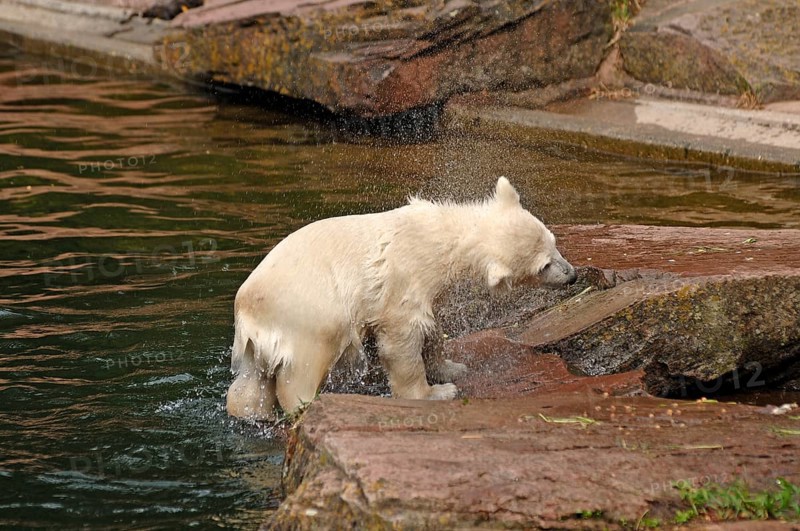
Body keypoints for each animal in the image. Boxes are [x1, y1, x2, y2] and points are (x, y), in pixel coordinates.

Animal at [226, 177, 577, 419]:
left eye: (554, 242)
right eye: (544, 266)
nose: (572, 274)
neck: (443, 236)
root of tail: (246, 307)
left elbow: (433, 328)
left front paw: (452, 368)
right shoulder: (404, 282)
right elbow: (402, 340)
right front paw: (436, 393)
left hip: (256, 341)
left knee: (250, 382)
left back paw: (250, 411)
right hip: (310, 315)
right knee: (302, 368)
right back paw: (307, 404)